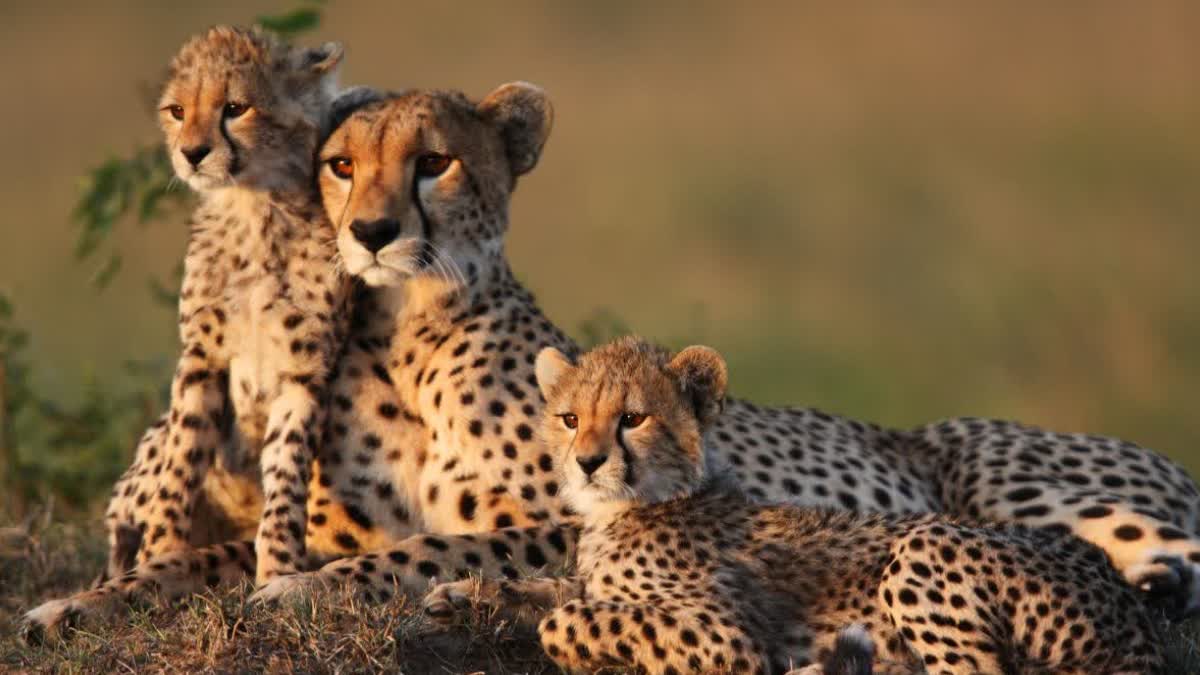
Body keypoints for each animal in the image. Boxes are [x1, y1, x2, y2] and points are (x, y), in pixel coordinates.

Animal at [423, 337, 1166, 675]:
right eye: (571, 417)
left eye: (632, 418)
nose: (586, 461)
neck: (636, 506)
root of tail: (1126, 599)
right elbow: (554, 588)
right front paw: (465, 594)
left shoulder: (728, 634)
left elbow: (567, 619)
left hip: (923, 548)